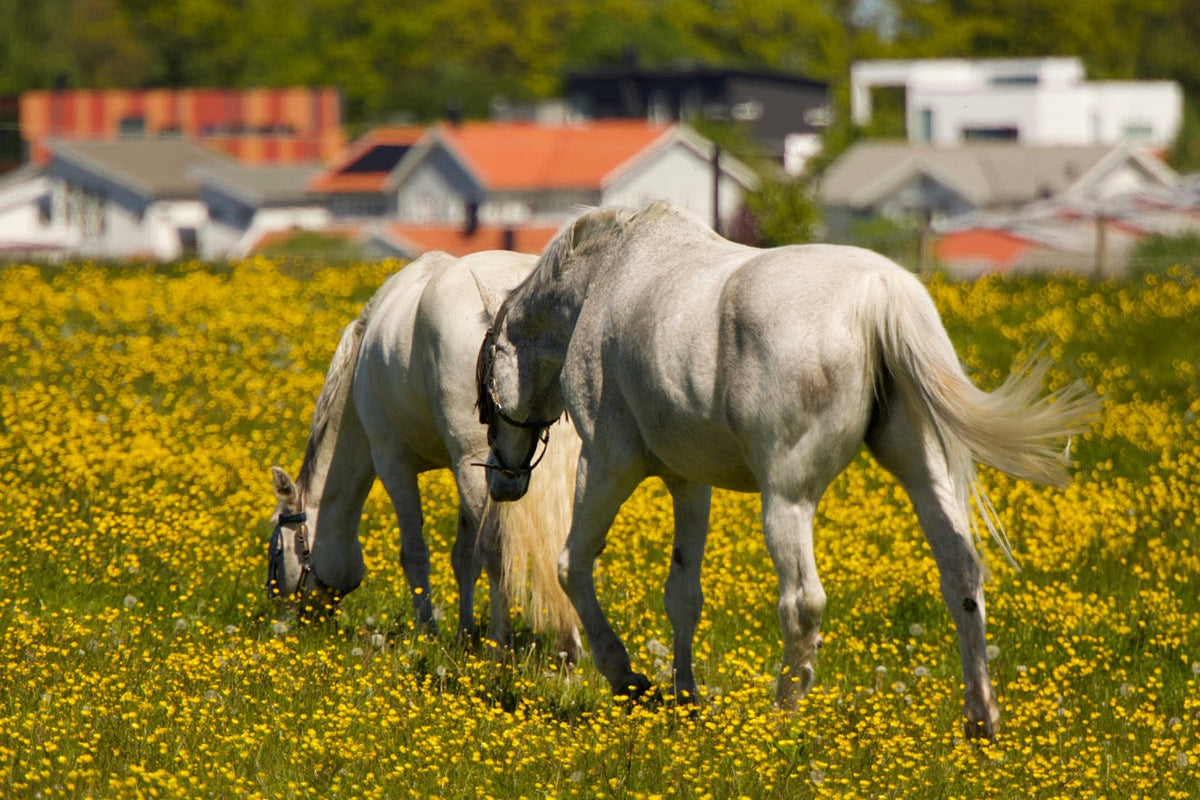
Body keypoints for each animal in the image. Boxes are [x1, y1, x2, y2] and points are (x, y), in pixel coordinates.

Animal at [266, 249, 580, 658]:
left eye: (276, 551)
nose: (288, 624)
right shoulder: (468, 468)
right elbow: (463, 557)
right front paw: (464, 633)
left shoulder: (394, 463)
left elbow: (415, 553)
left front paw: (428, 633)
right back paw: (569, 648)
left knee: (496, 550)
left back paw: (499, 645)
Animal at [473, 201, 1098, 738]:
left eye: (484, 377)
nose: (502, 480)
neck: (607, 279)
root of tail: (881, 294)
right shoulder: (688, 483)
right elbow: (682, 593)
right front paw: (684, 696)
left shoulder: (605, 464)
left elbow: (572, 566)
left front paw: (628, 678)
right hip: (924, 477)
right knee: (961, 578)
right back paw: (979, 719)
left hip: (786, 499)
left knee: (802, 601)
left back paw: (780, 719)